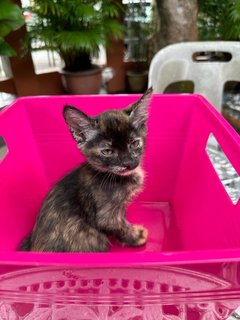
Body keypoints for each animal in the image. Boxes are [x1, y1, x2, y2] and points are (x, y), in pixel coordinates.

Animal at [20, 88, 152, 252]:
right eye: (107, 151)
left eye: (134, 143)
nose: (129, 163)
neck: (109, 174)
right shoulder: (107, 216)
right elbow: (120, 226)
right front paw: (136, 236)